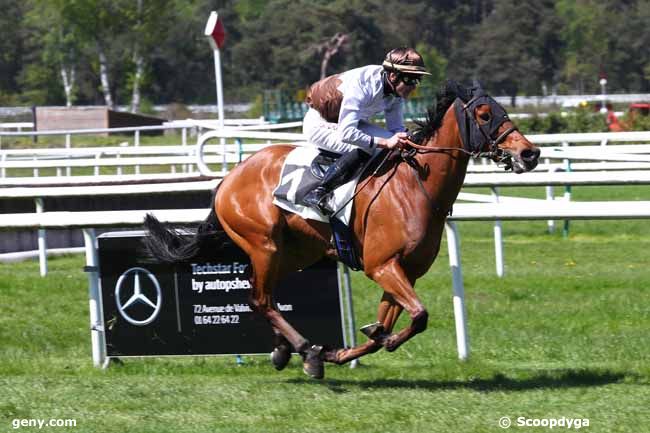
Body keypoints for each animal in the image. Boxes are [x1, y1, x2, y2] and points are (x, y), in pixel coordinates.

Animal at [144, 81, 540, 378]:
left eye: (504, 110)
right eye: (485, 114)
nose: (530, 153)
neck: (416, 186)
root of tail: (228, 178)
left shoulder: (404, 271)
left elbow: (389, 326)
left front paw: (348, 348)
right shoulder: (382, 265)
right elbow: (418, 316)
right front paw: (346, 348)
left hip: (295, 253)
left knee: (263, 296)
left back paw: (286, 350)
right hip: (263, 244)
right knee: (259, 299)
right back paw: (305, 350)